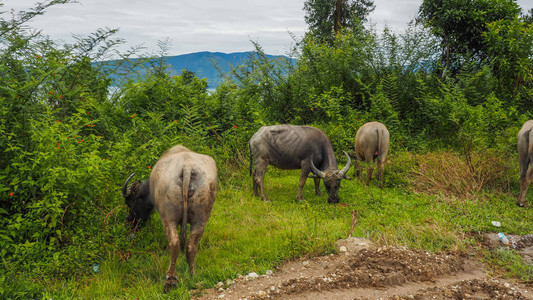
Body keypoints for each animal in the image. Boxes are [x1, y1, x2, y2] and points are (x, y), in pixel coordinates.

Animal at [122, 145, 216, 290]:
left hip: (168, 218)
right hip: (201, 219)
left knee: (174, 243)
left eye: (130, 202)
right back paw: (192, 274)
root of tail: (187, 167)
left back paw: (170, 279)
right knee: (191, 245)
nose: (130, 223)